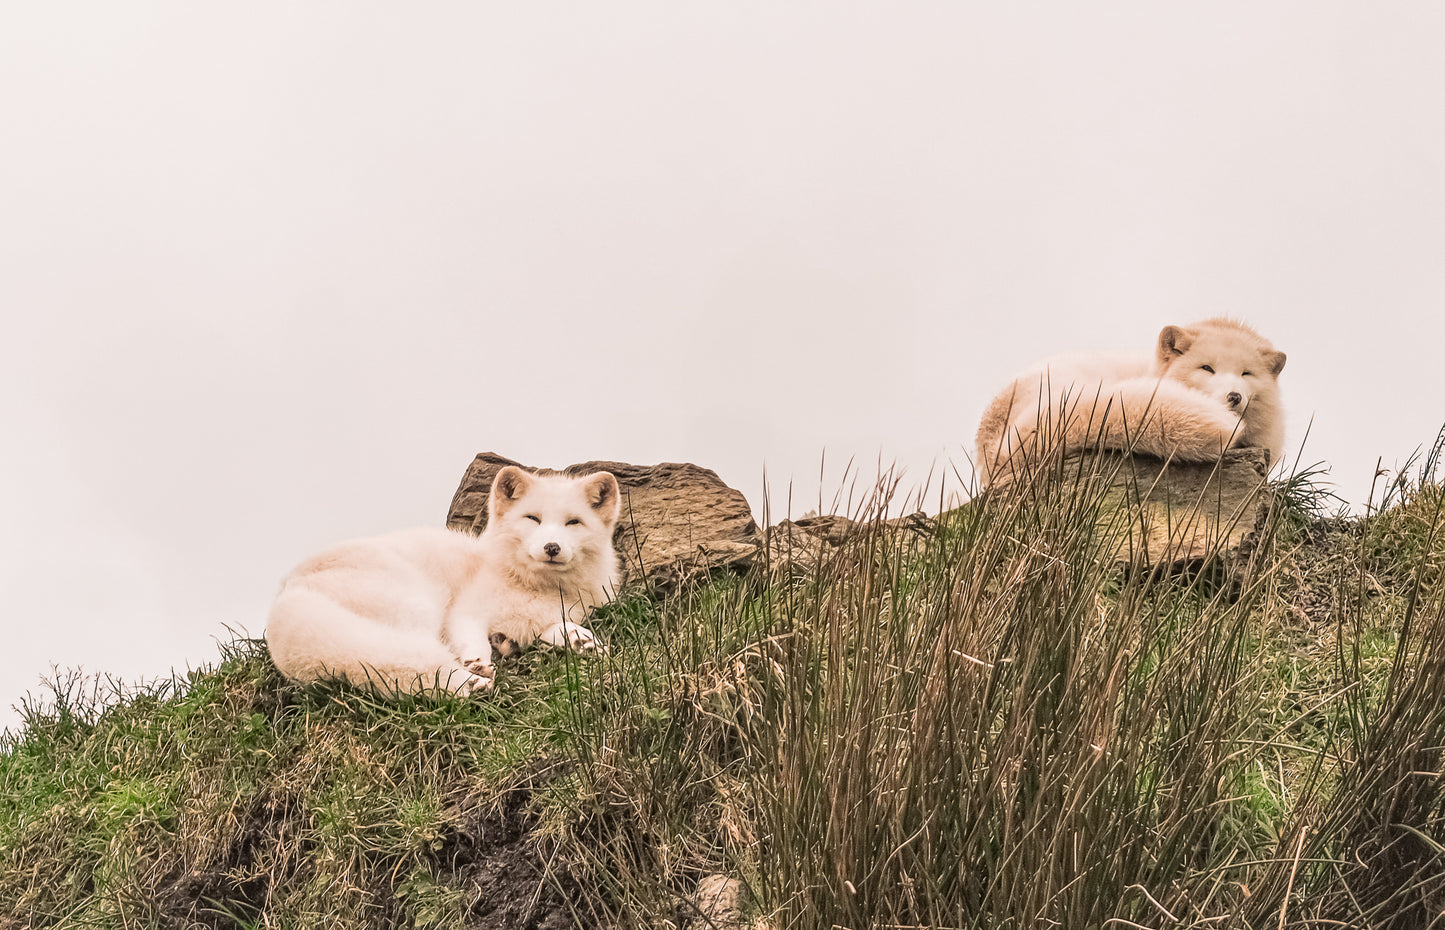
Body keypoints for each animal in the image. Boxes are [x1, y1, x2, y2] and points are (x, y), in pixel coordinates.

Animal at [265, 467, 621, 693]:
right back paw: (472, 680)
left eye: (573, 523)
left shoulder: (549, 617)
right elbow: (469, 636)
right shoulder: (464, 610)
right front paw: (478, 660)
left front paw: (581, 640)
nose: (551, 547)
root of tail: (286, 597)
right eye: (533, 519)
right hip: (417, 603)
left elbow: (555, 628)